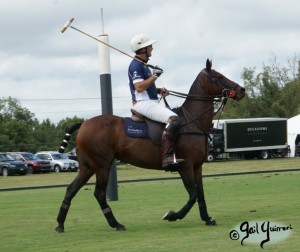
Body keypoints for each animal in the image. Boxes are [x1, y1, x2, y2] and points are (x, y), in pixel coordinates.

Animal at [55, 59, 245, 232]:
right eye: (218, 77)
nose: (241, 90)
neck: (193, 123)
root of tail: (83, 124)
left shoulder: (197, 167)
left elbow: (200, 195)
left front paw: (207, 218)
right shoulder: (185, 166)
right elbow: (192, 195)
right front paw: (171, 215)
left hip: (88, 166)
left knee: (71, 189)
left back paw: (60, 224)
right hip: (102, 164)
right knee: (99, 193)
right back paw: (116, 224)